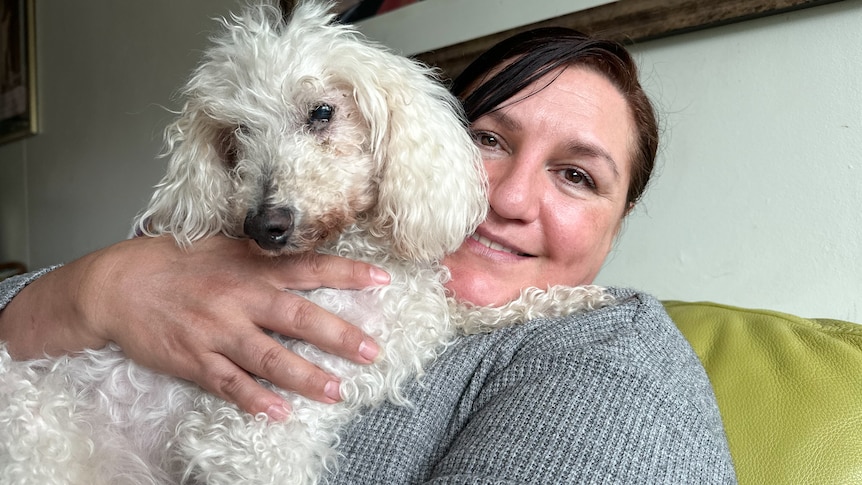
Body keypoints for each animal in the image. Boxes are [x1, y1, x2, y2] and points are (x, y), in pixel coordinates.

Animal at [0, 1, 616, 482]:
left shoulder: (413, 319)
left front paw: (580, 298)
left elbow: (477, 307)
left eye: (322, 112)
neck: (354, 251)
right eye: (234, 138)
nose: (262, 226)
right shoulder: (251, 432)